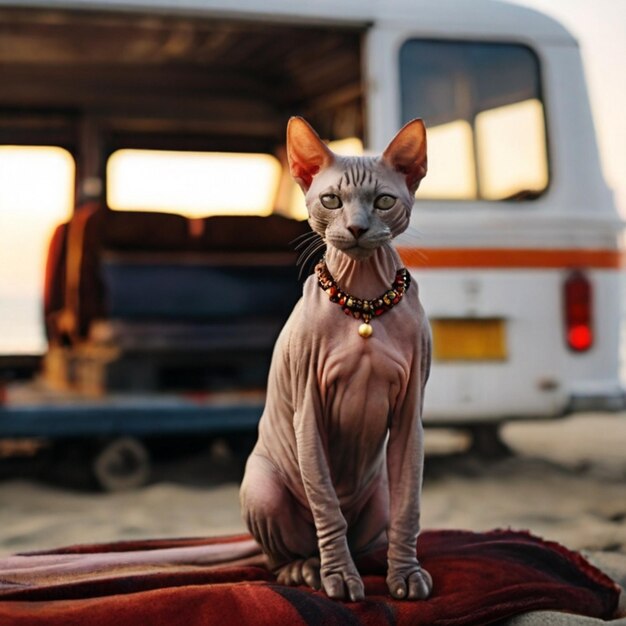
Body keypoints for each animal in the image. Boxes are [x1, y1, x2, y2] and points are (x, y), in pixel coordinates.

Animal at [238, 117, 428, 600]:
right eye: (331, 200)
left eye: (383, 201)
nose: (358, 228)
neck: (363, 303)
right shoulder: (309, 410)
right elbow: (327, 507)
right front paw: (339, 577)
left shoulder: (410, 416)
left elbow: (409, 509)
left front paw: (406, 574)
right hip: (262, 487)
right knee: (280, 553)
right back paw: (304, 570)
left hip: (379, 489)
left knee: (375, 527)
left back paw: (373, 561)